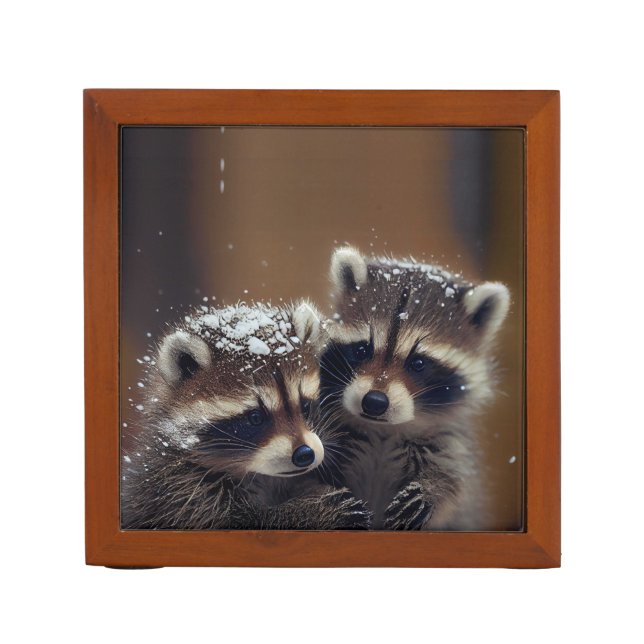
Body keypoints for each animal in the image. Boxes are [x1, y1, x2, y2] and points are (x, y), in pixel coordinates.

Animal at [122, 300, 370, 530]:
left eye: (305, 407)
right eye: (255, 417)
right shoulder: (180, 492)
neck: (263, 476)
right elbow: (244, 520)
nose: (305, 454)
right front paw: (309, 511)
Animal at [319, 246, 510, 530]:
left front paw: (432, 490)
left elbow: (454, 481)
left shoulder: (448, 441)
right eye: (362, 350)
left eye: (418, 363)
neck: (383, 431)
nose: (374, 402)